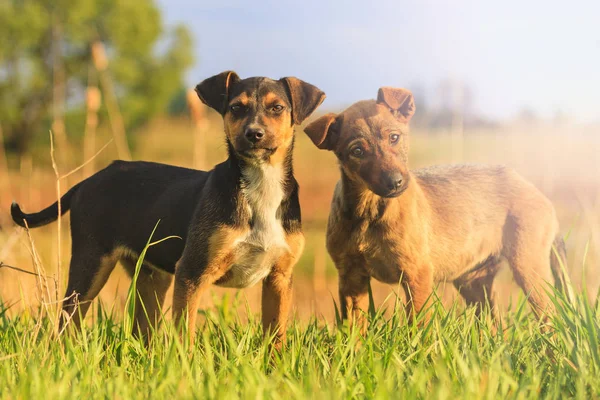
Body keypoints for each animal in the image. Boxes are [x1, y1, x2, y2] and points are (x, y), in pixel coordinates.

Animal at [11, 70, 326, 346]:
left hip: (151, 279)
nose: (254, 134)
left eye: (277, 108)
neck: (261, 182)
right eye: (236, 107)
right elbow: (185, 333)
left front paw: (275, 368)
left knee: (141, 331)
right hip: (90, 264)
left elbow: (276, 337)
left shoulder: (279, 278)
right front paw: (188, 368)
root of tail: (88, 181)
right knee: (66, 326)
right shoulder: (192, 272)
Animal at [304, 87, 572, 328]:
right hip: (473, 281)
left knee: (550, 318)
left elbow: (418, 329)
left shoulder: (417, 274)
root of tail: (534, 189)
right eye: (357, 151)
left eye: (394, 137)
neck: (369, 213)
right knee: (494, 327)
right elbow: (352, 331)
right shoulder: (350, 276)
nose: (395, 182)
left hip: (529, 268)